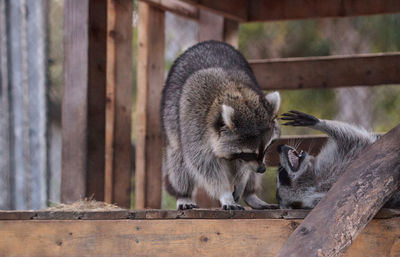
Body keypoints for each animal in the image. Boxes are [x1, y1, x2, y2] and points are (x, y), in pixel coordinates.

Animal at [161, 39, 280, 208]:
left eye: (267, 147)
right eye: (249, 153)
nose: (262, 169)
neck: (231, 89)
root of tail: (209, 42)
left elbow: (244, 168)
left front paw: (242, 181)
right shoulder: (194, 127)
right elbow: (204, 165)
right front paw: (225, 194)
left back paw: (250, 193)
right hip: (171, 117)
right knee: (178, 160)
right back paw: (183, 194)